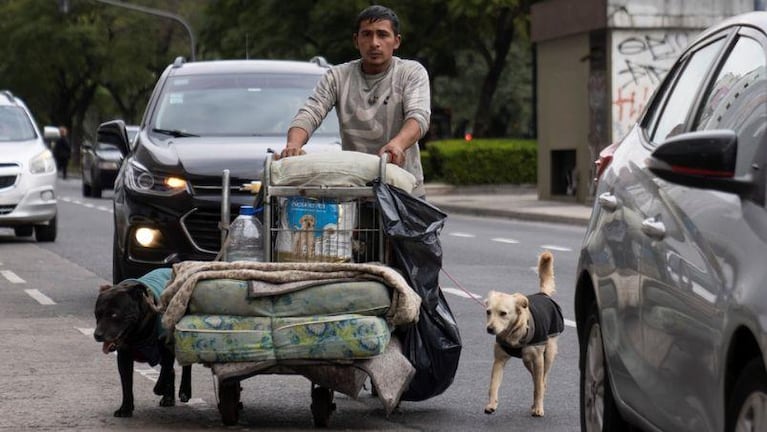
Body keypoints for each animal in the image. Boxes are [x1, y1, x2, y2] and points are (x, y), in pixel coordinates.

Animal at [92, 270, 192, 418]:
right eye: (97, 314)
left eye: (114, 314)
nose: (97, 335)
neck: (138, 333)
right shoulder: (124, 357)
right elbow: (126, 384)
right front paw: (126, 408)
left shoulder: (167, 349)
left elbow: (166, 370)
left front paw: (159, 387)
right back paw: (168, 398)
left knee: (185, 366)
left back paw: (184, 390)